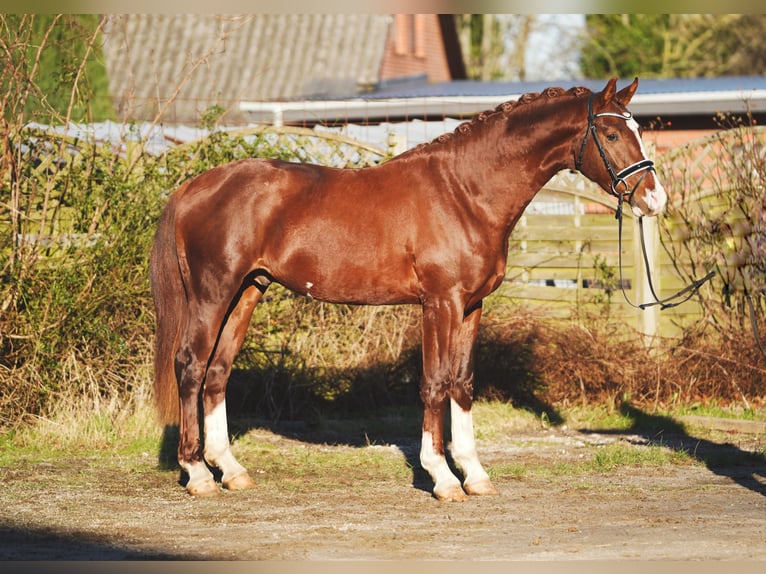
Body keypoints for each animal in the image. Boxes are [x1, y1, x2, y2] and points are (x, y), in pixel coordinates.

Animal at [148, 77, 664, 504]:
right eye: (612, 134)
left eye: (638, 129)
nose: (654, 198)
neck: (464, 192)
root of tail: (194, 187)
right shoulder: (440, 303)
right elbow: (435, 384)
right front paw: (442, 478)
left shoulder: (472, 306)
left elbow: (462, 384)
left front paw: (475, 475)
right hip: (213, 293)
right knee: (191, 366)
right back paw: (197, 474)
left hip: (247, 292)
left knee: (217, 372)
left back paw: (231, 471)